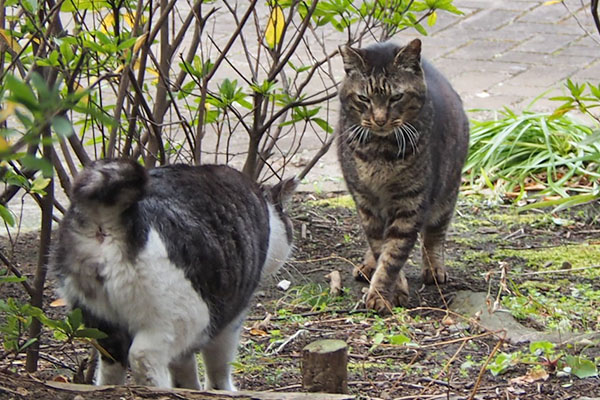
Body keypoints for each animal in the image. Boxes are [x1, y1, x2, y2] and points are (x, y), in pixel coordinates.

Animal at [51, 160, 298, 390]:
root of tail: (107, 215)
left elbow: (183, 367)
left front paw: (191, 389)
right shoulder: (231, 317)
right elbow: (218, 365)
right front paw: (219, 391)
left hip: (100, 321)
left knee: (112, 361)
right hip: (182, 314)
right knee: (143, 356)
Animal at [338, 39, 468, 316]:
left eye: (396, 97)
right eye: (364, 98)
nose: (379, 119)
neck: (379, 151)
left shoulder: (411, 203)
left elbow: (393, 254)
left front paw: (381, 294)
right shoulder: (365, 201)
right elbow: (380, 247)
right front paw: (392, 290)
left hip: (447, 192)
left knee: (434, 234)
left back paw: (434, 268)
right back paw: (367, 266)